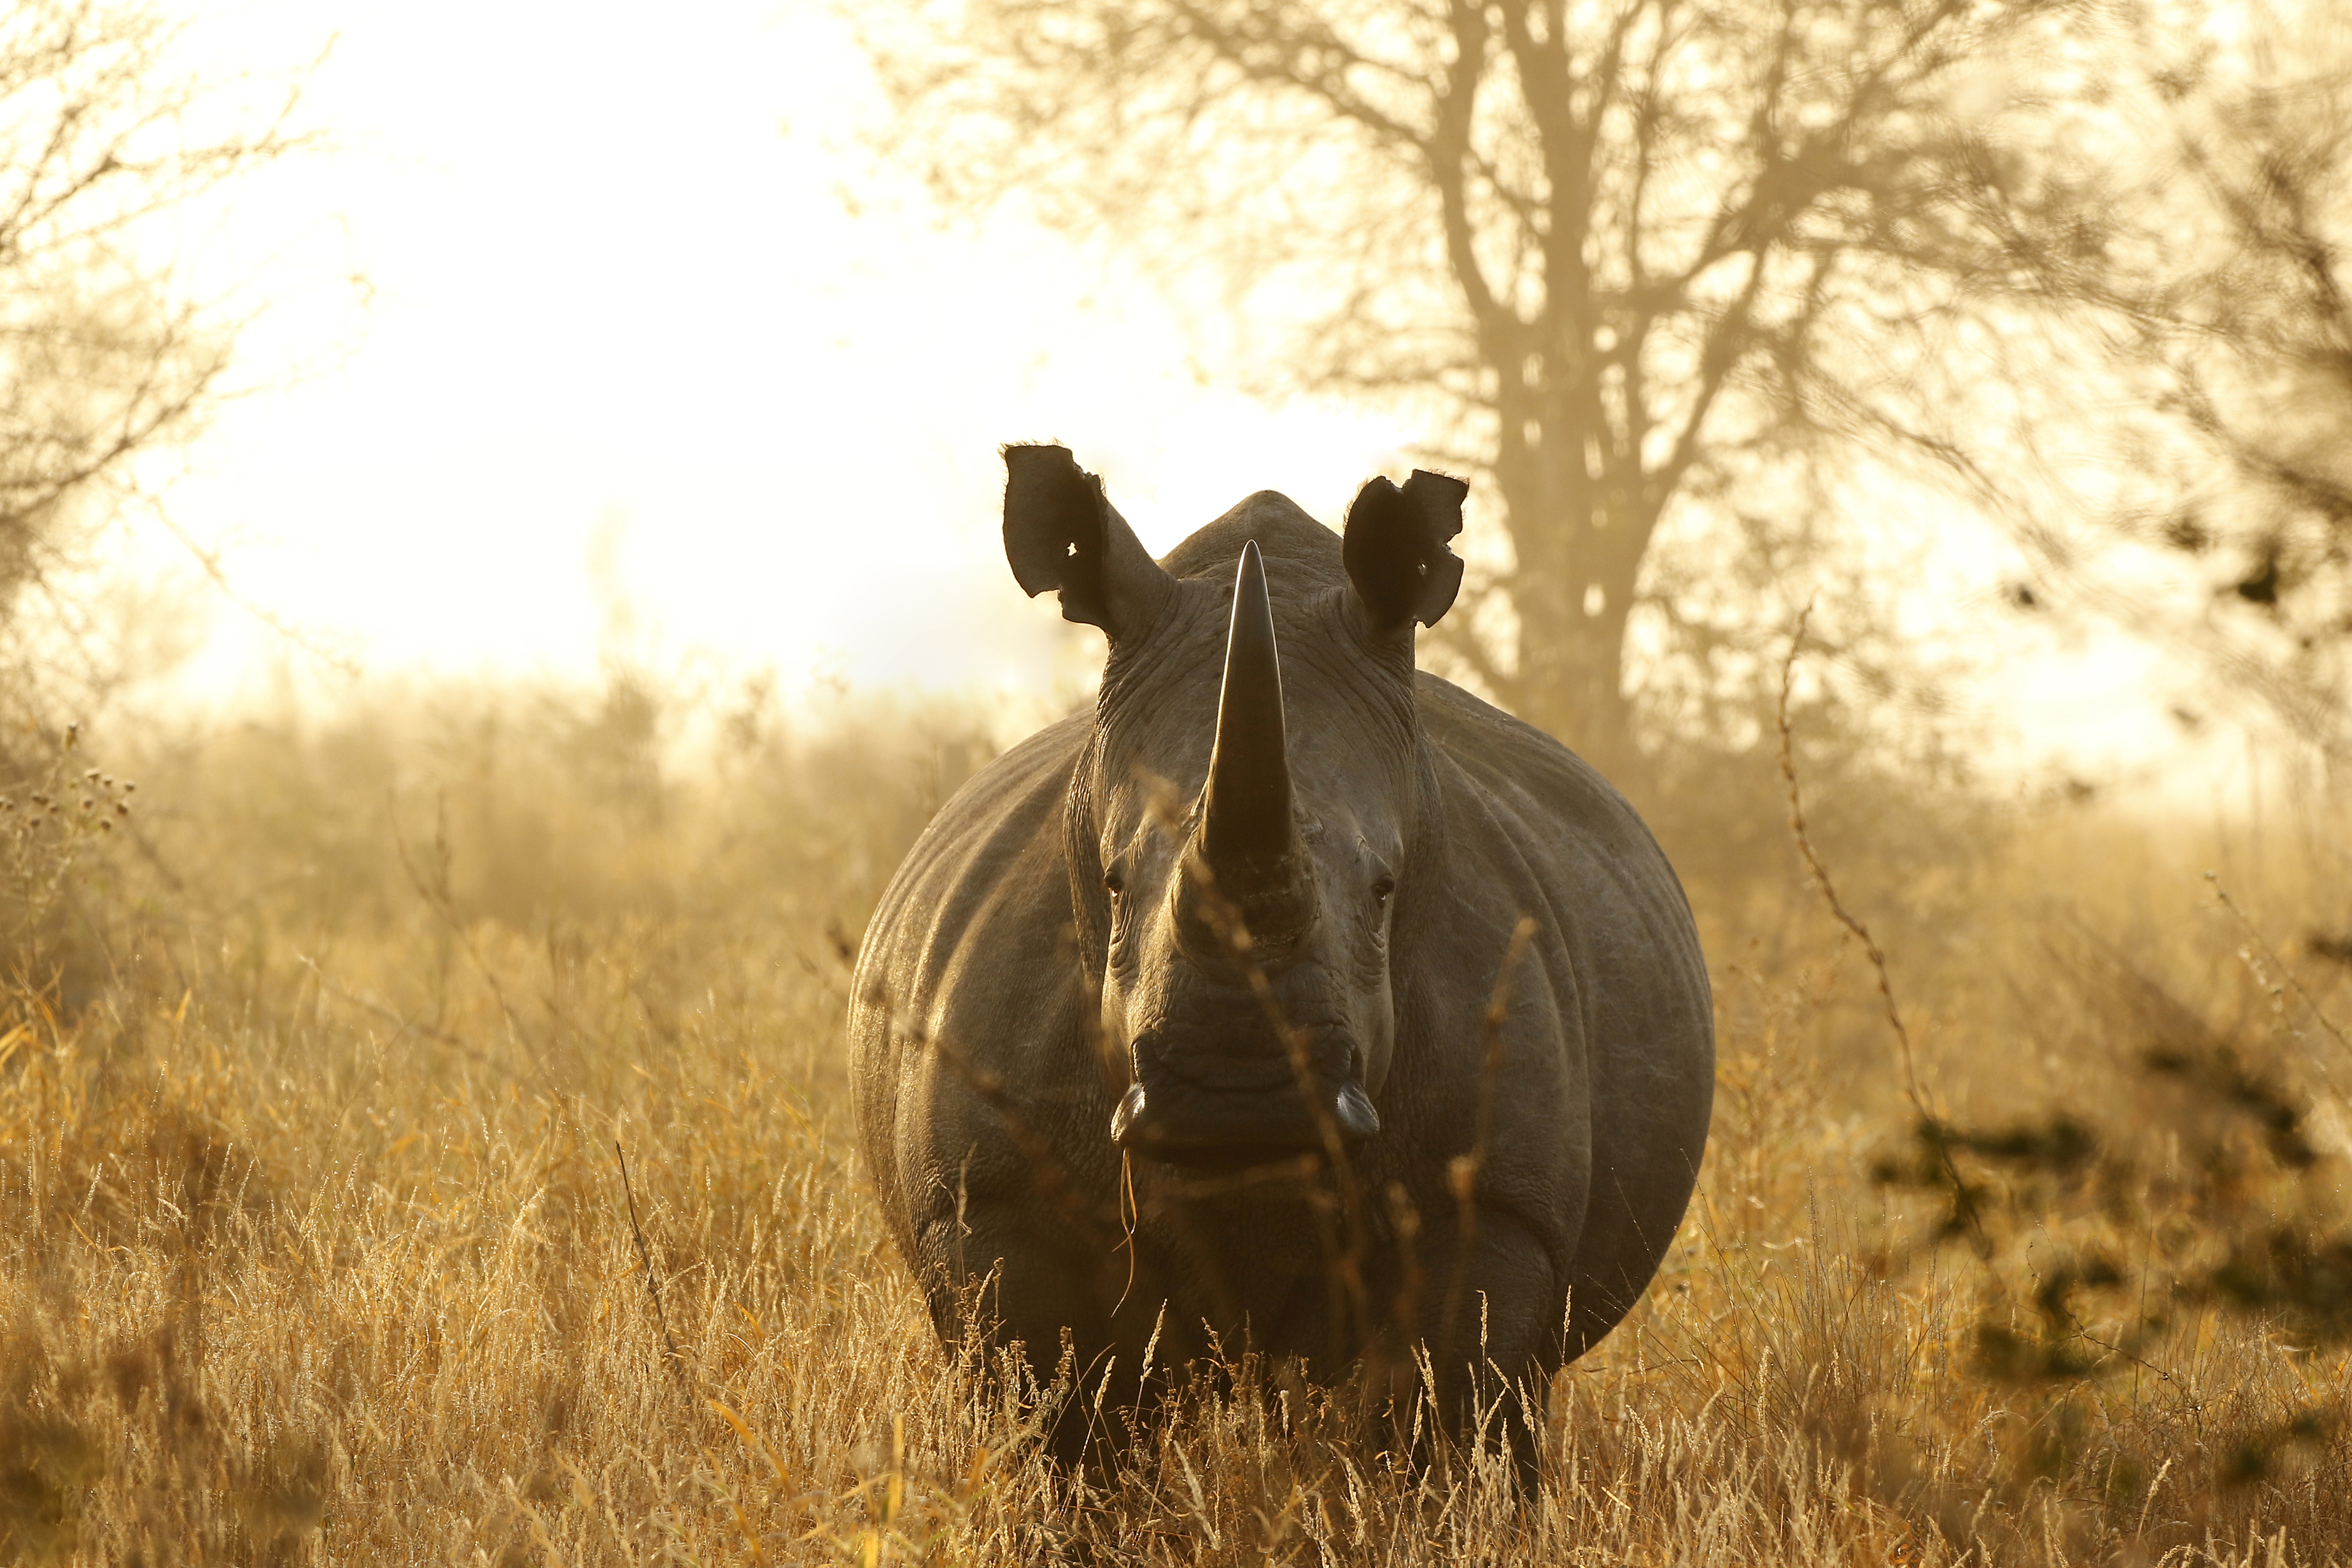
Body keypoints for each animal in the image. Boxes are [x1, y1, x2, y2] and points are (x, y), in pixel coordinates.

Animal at [849, 445, 1712, 1461]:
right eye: (1111, 884)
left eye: (1383, 889)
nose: (1236, 1103)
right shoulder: (992, 1202)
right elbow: (1060, 1424)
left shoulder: (1495, 1206)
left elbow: (1447, 1424)